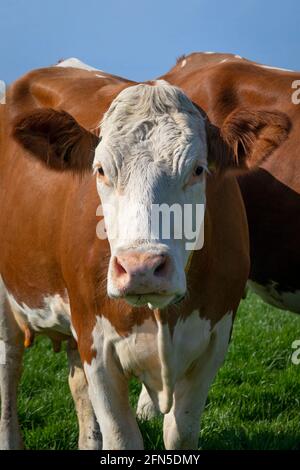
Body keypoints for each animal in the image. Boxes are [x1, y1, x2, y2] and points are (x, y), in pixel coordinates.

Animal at [0, 60, 290, 450]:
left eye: (198, 169)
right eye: (100, 170)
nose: (142, 268)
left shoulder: (213, 340)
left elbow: (180, 434)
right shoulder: (96, 344)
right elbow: (122, 438)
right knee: (9, 365)